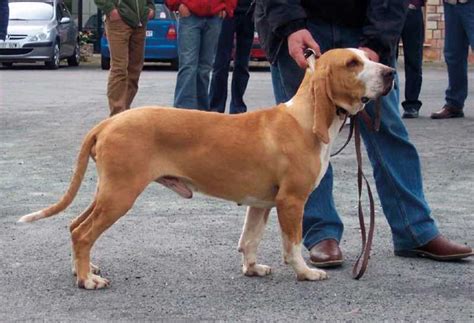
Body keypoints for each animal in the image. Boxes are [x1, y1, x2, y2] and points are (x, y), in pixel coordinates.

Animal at [18, 48, 394, 292]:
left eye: (367, 55)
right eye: (352, 63)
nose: (390, 72)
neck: (304, 118)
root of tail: (108, 122)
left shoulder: (261, 204)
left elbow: (250, 239)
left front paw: (252, 268)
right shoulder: (291, 202)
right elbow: (293, 244)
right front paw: (306, 273)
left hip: (107, 192)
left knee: (74, 226)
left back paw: (81, 268)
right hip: (119, 195)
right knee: (83, 233)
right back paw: (87, 279)